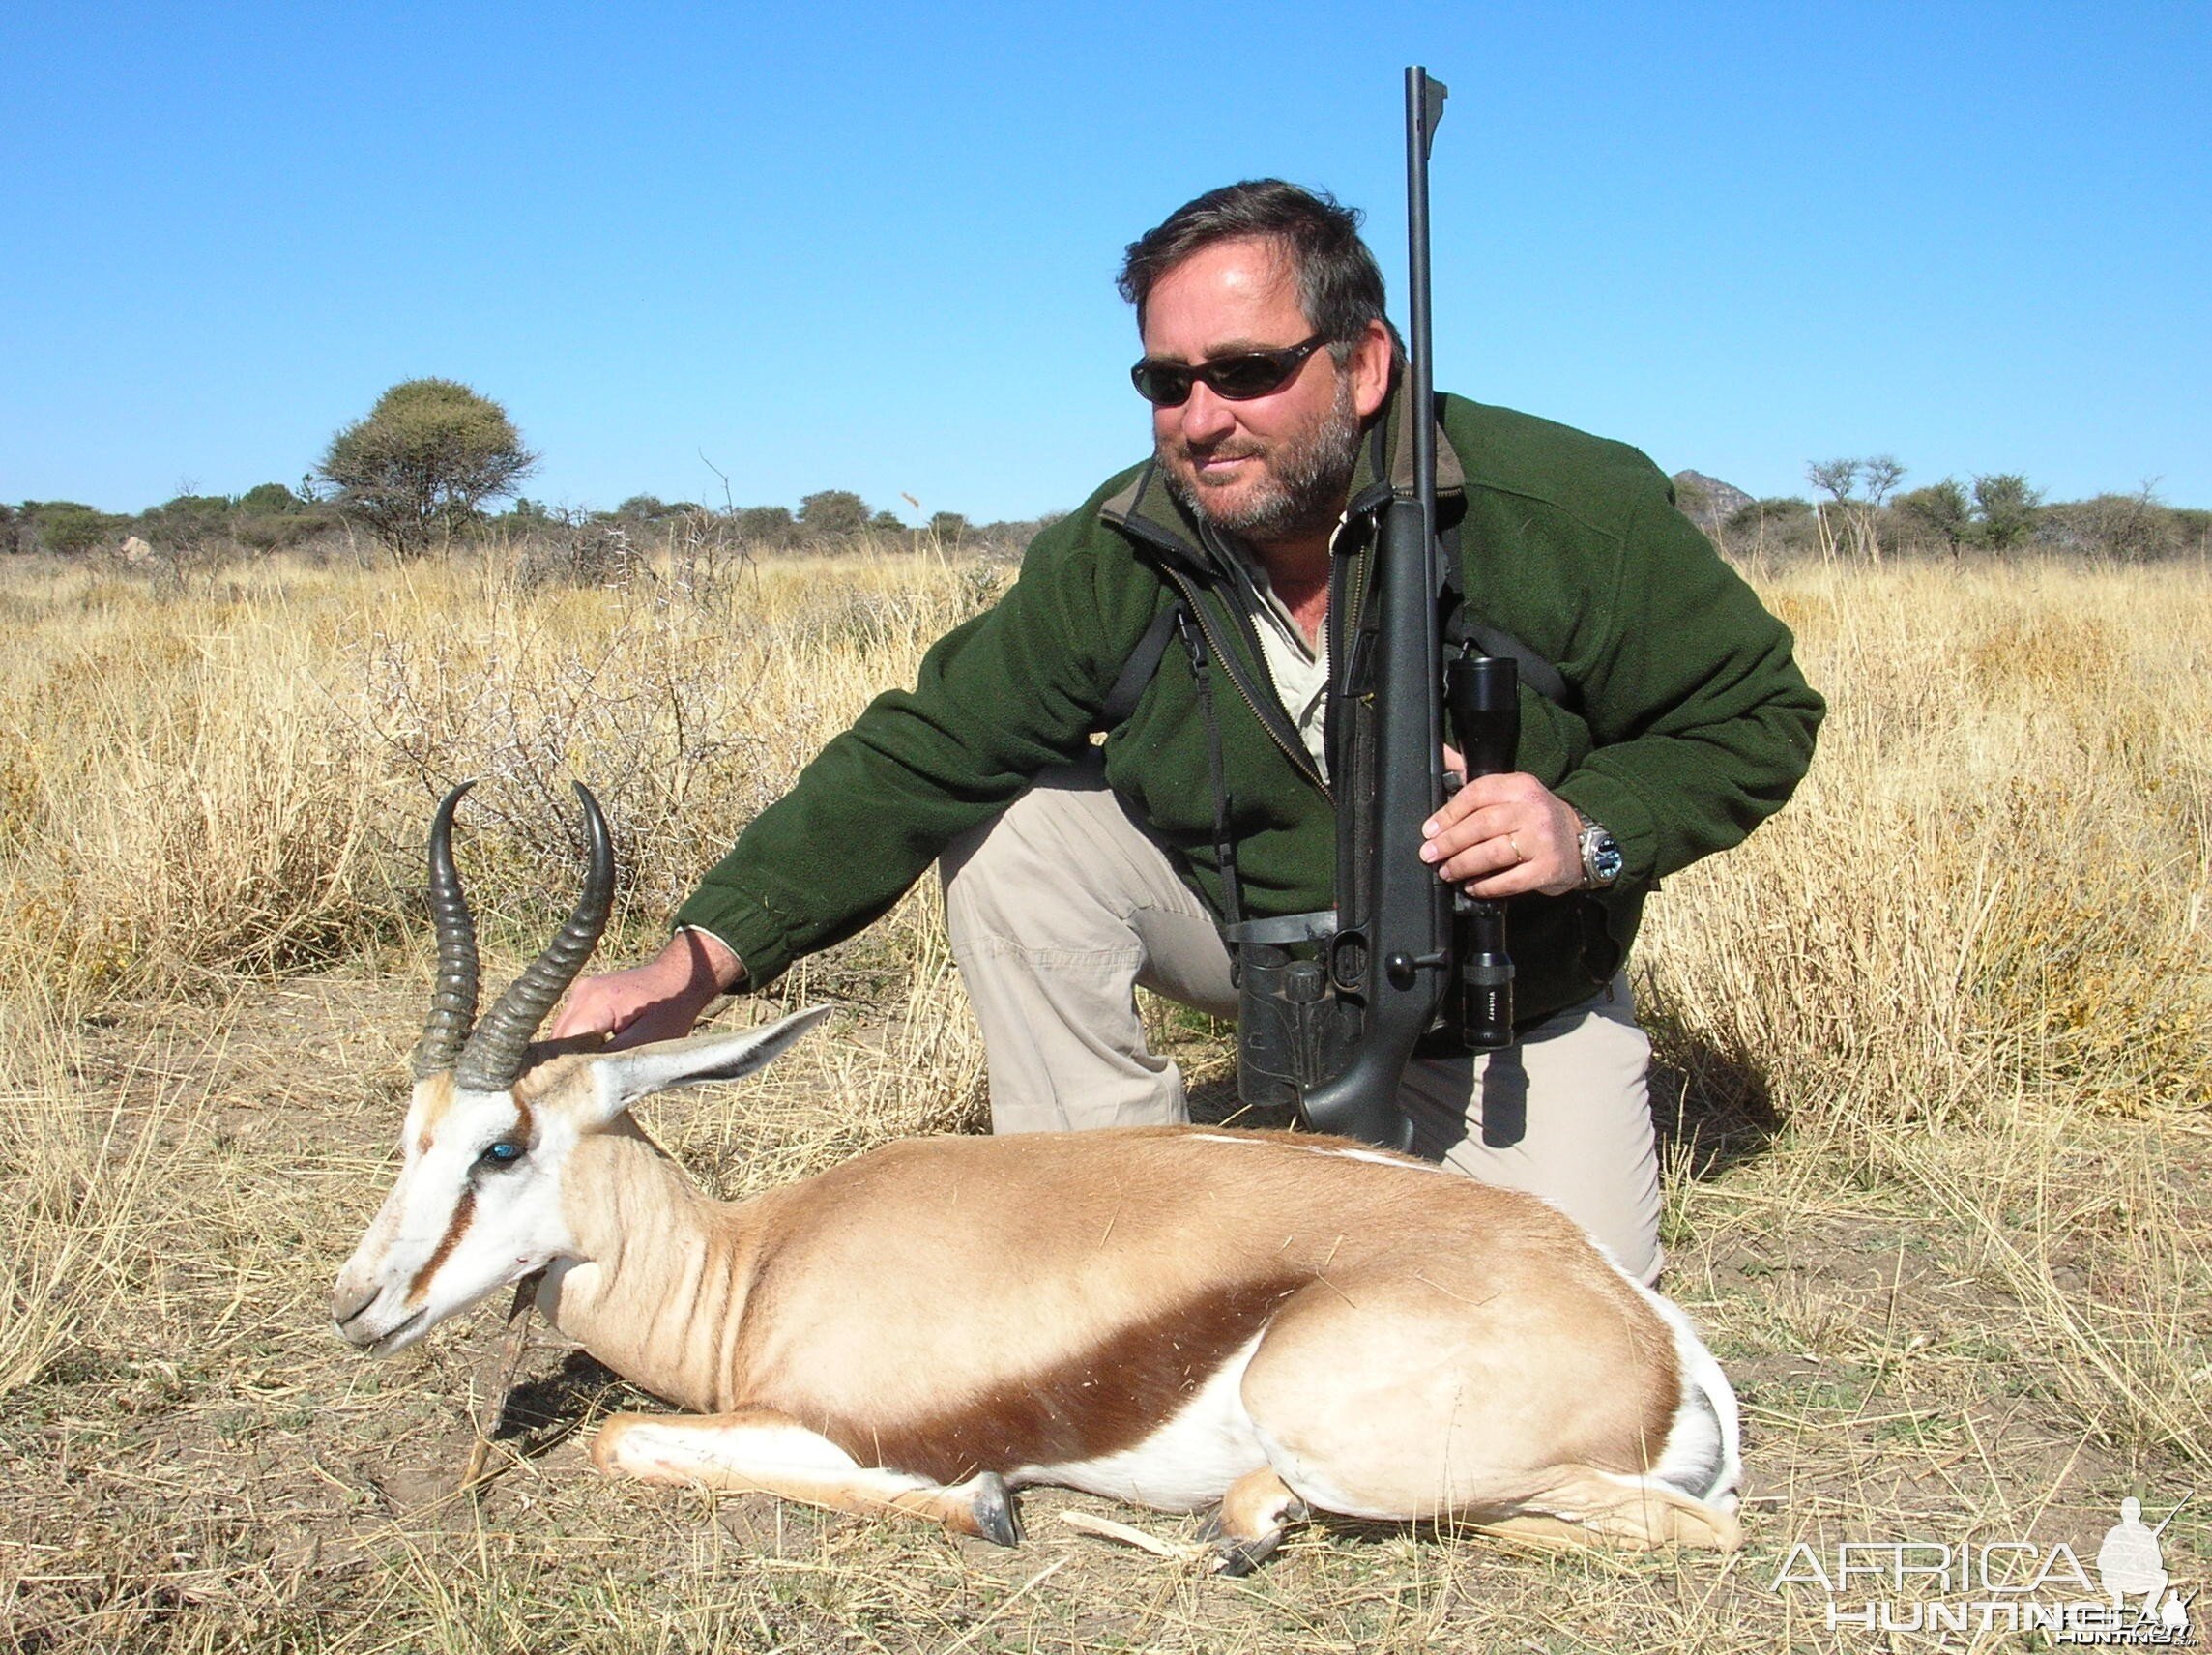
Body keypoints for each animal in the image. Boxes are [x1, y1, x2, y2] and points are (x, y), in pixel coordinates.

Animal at [327, 783, 1742, 1575]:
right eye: (408, 1131)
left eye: (503, 1144)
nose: (356, 1303)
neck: (754, 1271)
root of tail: (1650, 1332)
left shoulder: (837, 1421)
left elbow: (622, 1437)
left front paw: (982, 1506)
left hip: (1347, 1433)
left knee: (1684, 1529)